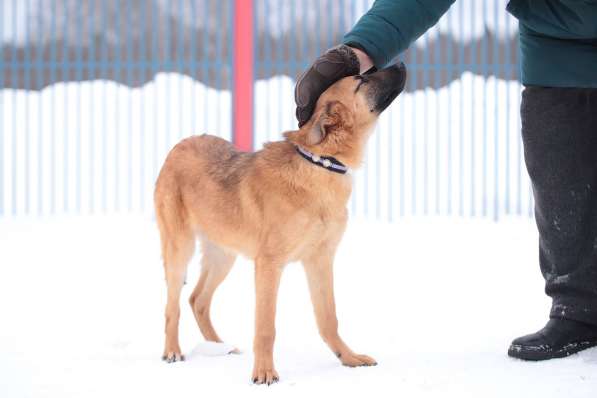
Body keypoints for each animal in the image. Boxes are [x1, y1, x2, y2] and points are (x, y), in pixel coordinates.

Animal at [152, 63, 406, 386]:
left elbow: (329, 317)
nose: (401, 64)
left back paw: (220, 347)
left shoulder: (320, 260)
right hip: (179, 249)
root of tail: (180, 145)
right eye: (361, 80)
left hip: (223, 254)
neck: (319, 163)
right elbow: (266, 326)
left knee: (198, 299)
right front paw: (264, 372)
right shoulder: (269, 265)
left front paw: (348, 358)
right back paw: (172, 351)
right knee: (172, 305)